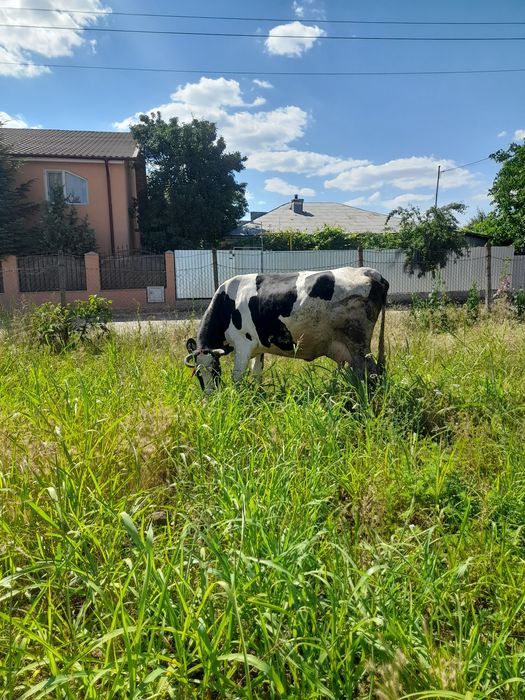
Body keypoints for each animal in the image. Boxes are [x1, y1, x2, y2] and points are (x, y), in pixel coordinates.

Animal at [184, 267, 389, 394]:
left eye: (215, 370)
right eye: (197, 373)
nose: (210, 396)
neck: (226, 302)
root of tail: (369, 272)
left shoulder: (243, 344)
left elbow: (237, 377)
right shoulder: (257, 348)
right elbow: (257, 374)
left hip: (358, 345)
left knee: (371, 374)